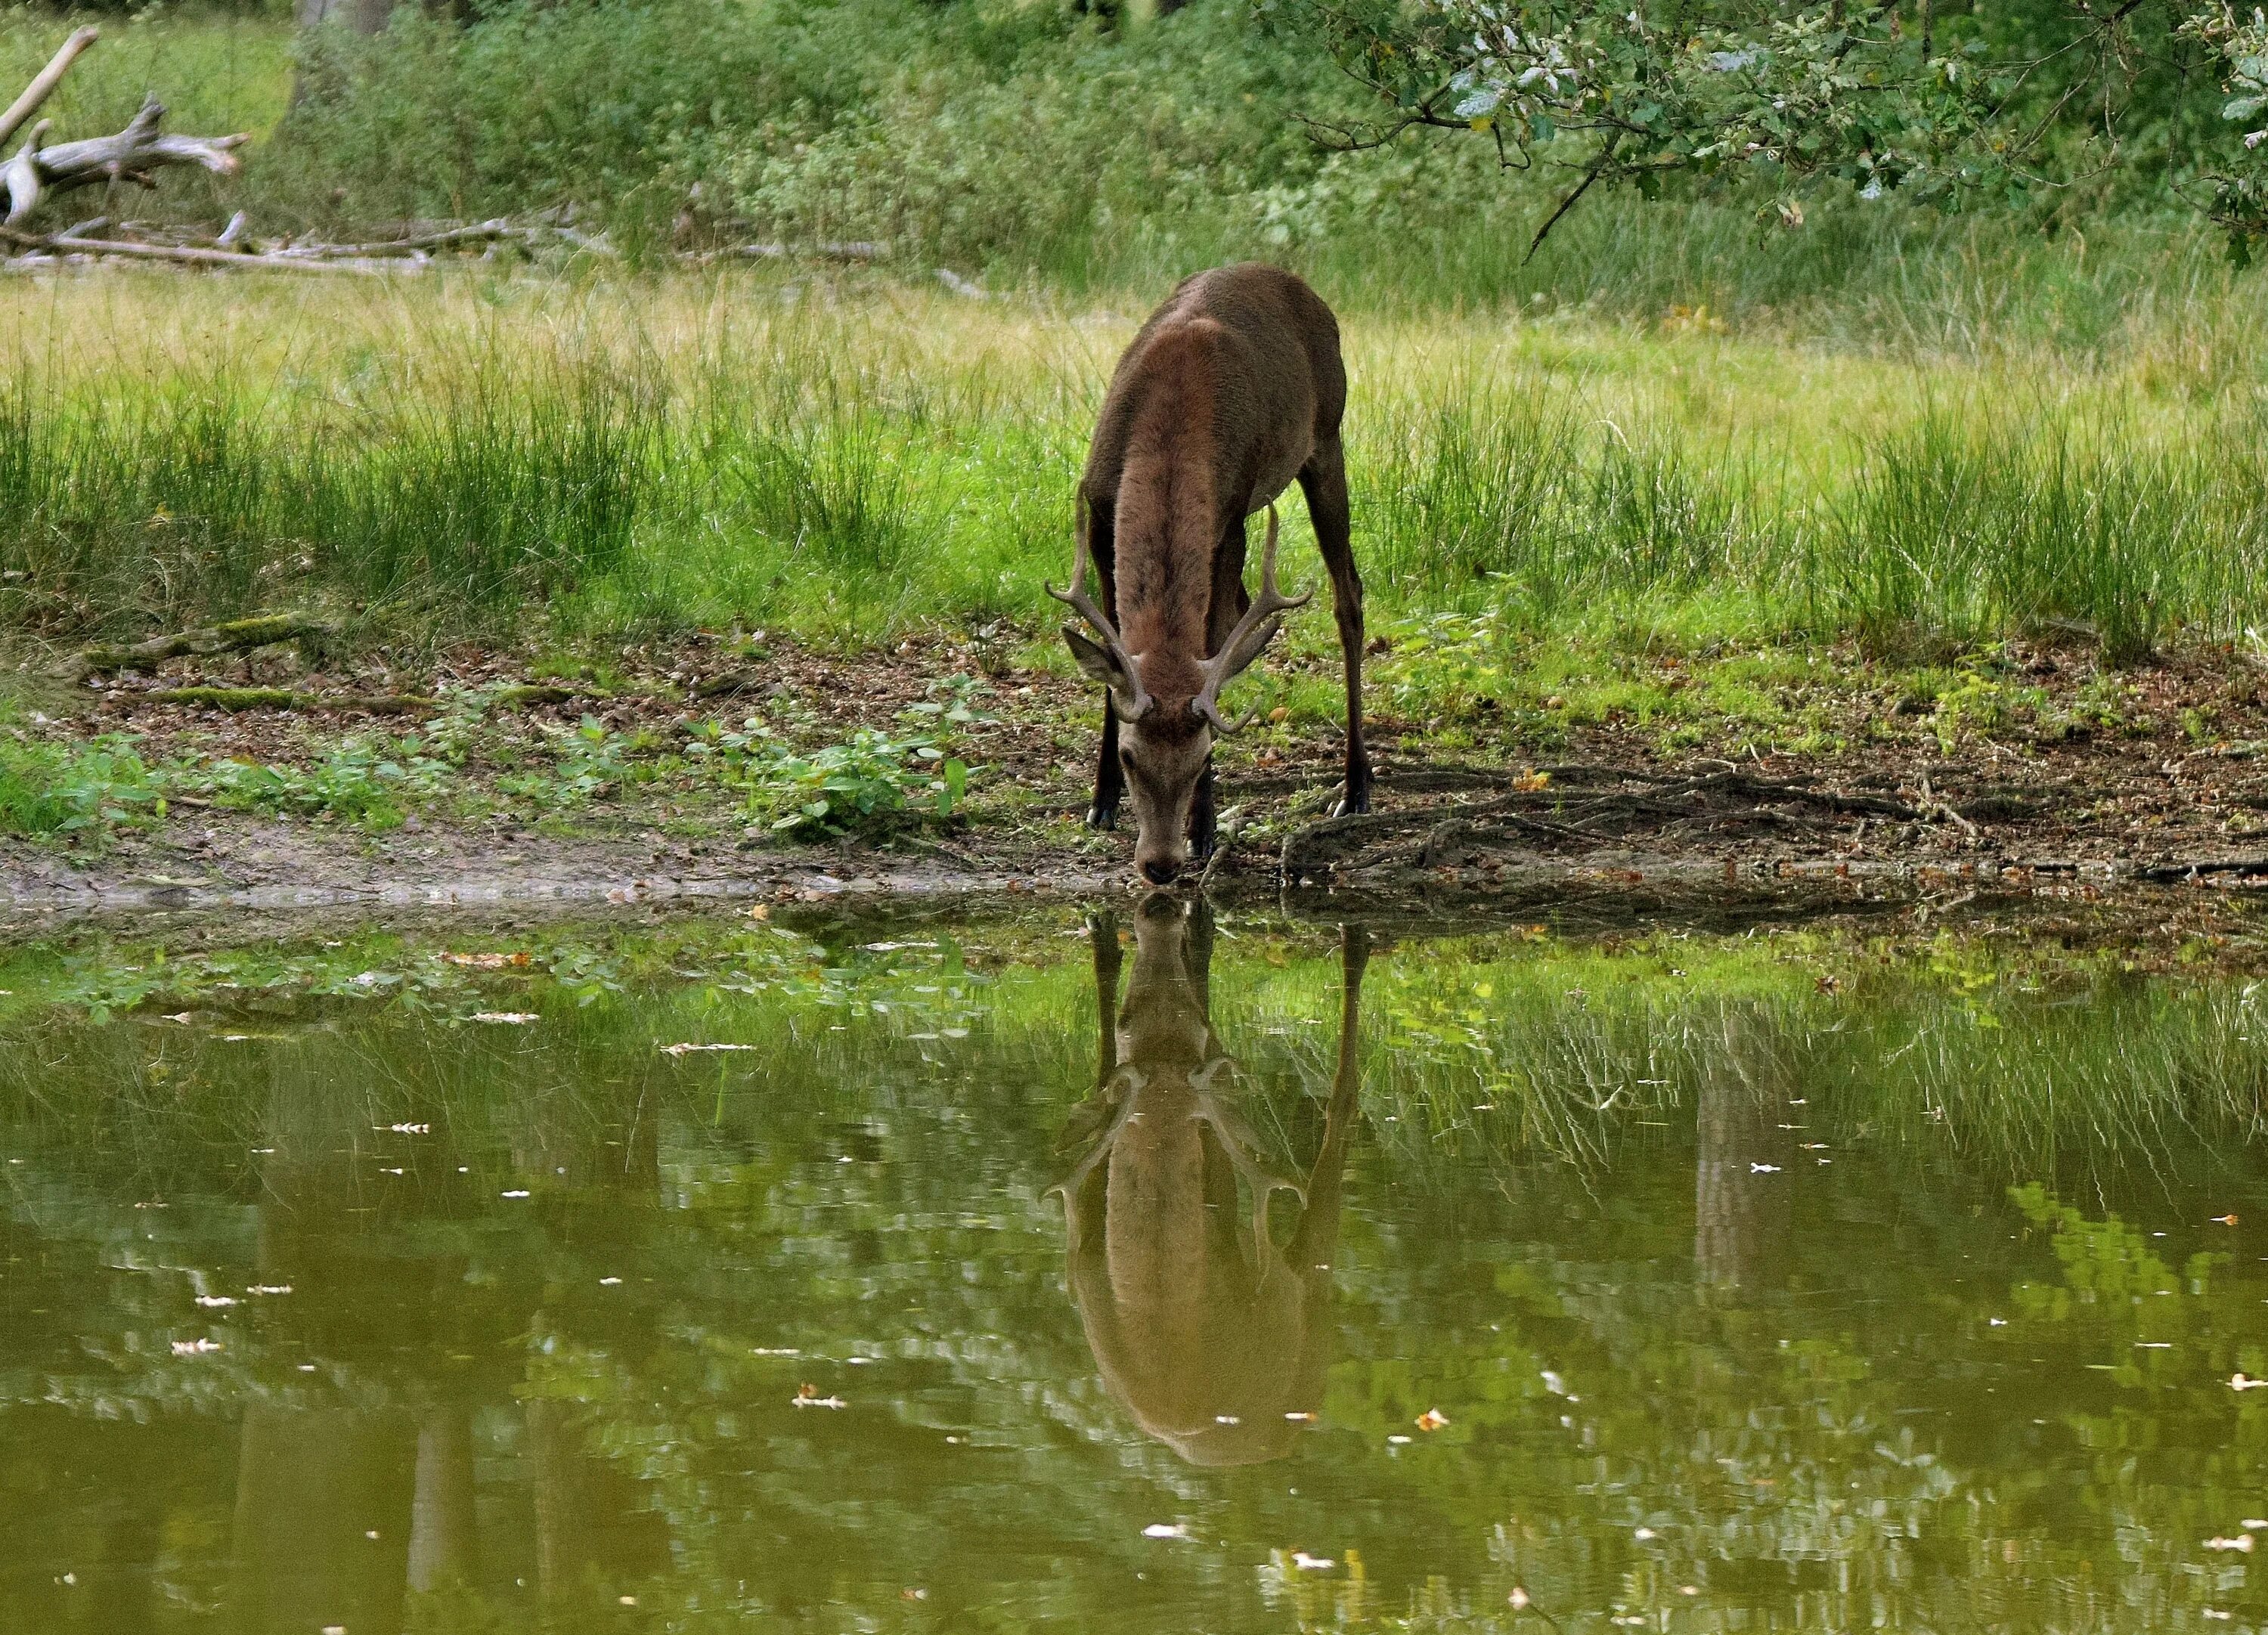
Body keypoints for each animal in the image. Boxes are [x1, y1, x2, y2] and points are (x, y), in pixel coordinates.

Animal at [1052, 263, 1370, 884]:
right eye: (1130, 755)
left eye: (1201, 758)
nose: (1161, 864)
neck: (1169, 417)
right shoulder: (1098, 509)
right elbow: (1113, 650)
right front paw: (1100, 800)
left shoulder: (1232, 516)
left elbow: (1211, 642)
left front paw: (1204, 827)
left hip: (1327, 436)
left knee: (1348, 595)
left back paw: (1355, 788)